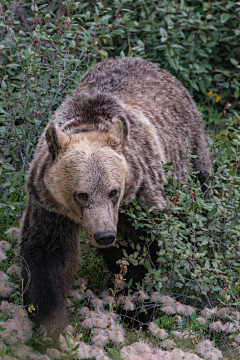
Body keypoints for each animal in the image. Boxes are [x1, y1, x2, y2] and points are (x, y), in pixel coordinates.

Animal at [17, 56, 211, 340]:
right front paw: (48, 321)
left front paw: (137, 311)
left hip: (189, 155)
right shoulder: (49, 203)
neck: (88, 122)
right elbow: (46, 254)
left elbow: (138, 253)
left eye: (113, 191)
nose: (105, 235)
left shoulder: (138, 197)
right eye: (81, 195)